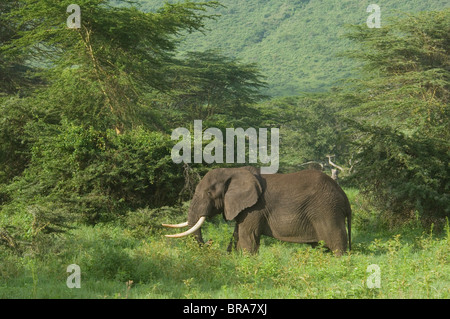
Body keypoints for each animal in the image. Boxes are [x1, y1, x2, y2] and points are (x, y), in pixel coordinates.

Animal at [163, 166, 354, 256]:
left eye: (209, 193)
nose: (210, 242)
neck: (234, 171)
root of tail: (345, 198)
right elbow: (238, 235)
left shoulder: (255, 208)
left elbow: (247, 236)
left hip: (328, 210)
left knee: (336, 243)